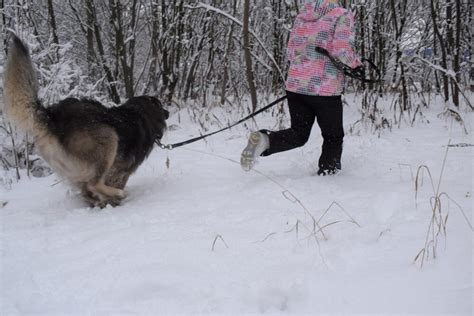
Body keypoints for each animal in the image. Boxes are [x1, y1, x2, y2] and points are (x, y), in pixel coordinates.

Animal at [2, 34, 169, 207]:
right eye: (161, 106)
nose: (168, 112)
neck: (139, 112)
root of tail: (53, 117)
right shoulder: (122, 170)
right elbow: (115, 181)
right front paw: (114, 199)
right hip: (108, 139)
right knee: (94, 183)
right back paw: (117, 194)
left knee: (86, 190)